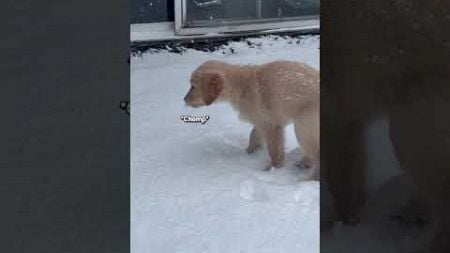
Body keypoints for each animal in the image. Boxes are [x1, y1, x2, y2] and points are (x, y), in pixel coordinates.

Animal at [183, 59, 320, 178]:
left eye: (193, 86)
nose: (184, 99)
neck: (242, 85)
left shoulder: (270, 125)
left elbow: (275, 151)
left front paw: (272, 169)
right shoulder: (261, 121)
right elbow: (254, 135)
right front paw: (249, 152)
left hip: (303, 127)